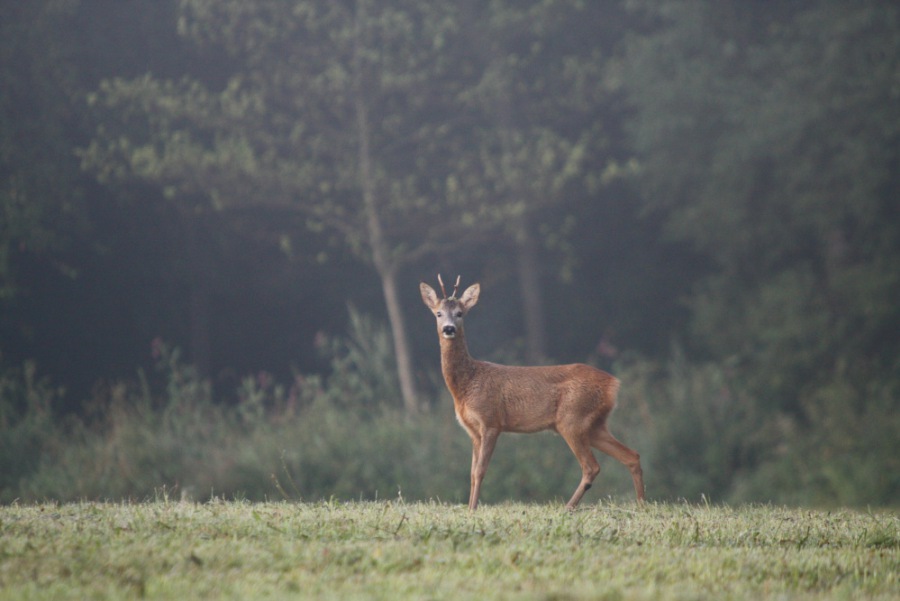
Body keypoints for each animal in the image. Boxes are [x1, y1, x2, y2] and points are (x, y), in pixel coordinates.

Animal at [420, 275, 645, 510]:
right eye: (438, 313)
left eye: (460, 313)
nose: (449, 329)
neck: (467, 384)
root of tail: (613, 384)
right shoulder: (473, 430)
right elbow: (471, 473)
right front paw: (470, 508)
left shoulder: (491, 421)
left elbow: (480, 471)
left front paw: (473, 509)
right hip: (594, 425)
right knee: (632, 456)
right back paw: (641, 505)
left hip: (572, 419)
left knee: (591, 466)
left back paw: (568, 507)